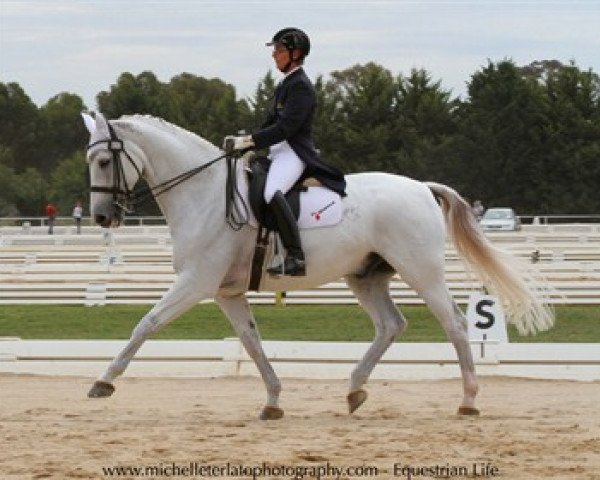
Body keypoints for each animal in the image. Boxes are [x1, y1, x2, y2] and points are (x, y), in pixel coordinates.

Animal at [81, 112, 552, 420]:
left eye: (104, 161)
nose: (102, 217)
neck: (204, 193)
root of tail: (421, 186)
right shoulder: (226, 292)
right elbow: (251, 342)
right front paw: (273, 400)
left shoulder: (196, 282)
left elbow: (147, 323)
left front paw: (104, 382)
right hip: (365, 276)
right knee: (390, 325)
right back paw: (355, 390)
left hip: (421, 270)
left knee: (454, 323)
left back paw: (468, 400)